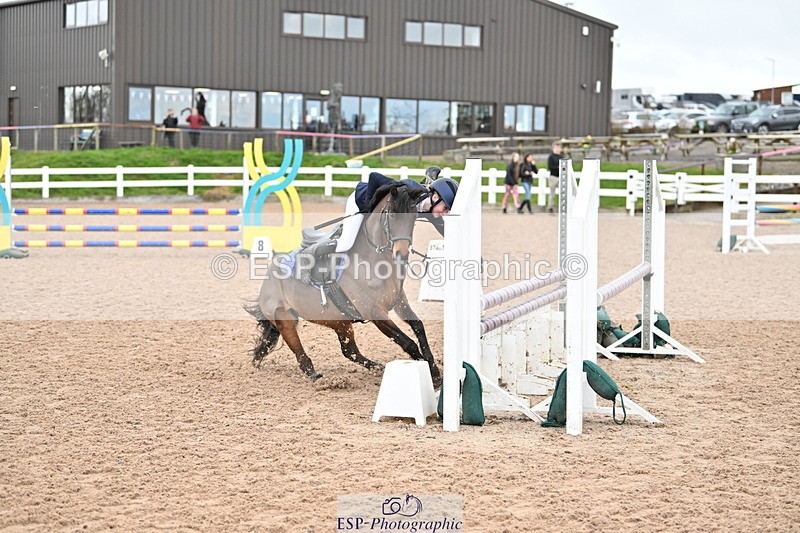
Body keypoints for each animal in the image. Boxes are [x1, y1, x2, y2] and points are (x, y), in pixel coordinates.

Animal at [246, 184, 441, 384]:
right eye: (392, 215)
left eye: (413, 218)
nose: (401, 254)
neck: (373, 261)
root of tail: (267, 280)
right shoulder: (376, 314)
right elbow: (407, 342)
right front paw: (429, 373)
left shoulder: (400, 302)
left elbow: (418, 327)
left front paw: (434, 369)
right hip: (285, 319)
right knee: (300, 352)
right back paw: (314, 375)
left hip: (339, 321)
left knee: (350, 351)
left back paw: (378, 367)